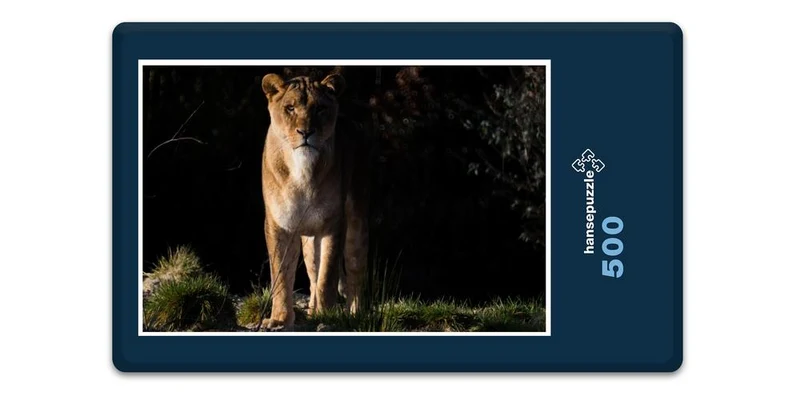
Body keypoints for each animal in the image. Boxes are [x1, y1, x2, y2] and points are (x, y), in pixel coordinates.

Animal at [260, 72, 369, 331]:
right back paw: (310, 311)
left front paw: (327, 317)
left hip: (356, 221)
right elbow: (281, 275)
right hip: (309, 239)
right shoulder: (278, 225)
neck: (302, 169)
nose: (305, 132)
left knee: (354, 270)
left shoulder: (333, 225)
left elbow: (327, 276)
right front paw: (280, 319)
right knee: (312, 273)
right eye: (290, 108)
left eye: (320, 108)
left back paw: (354, 314)